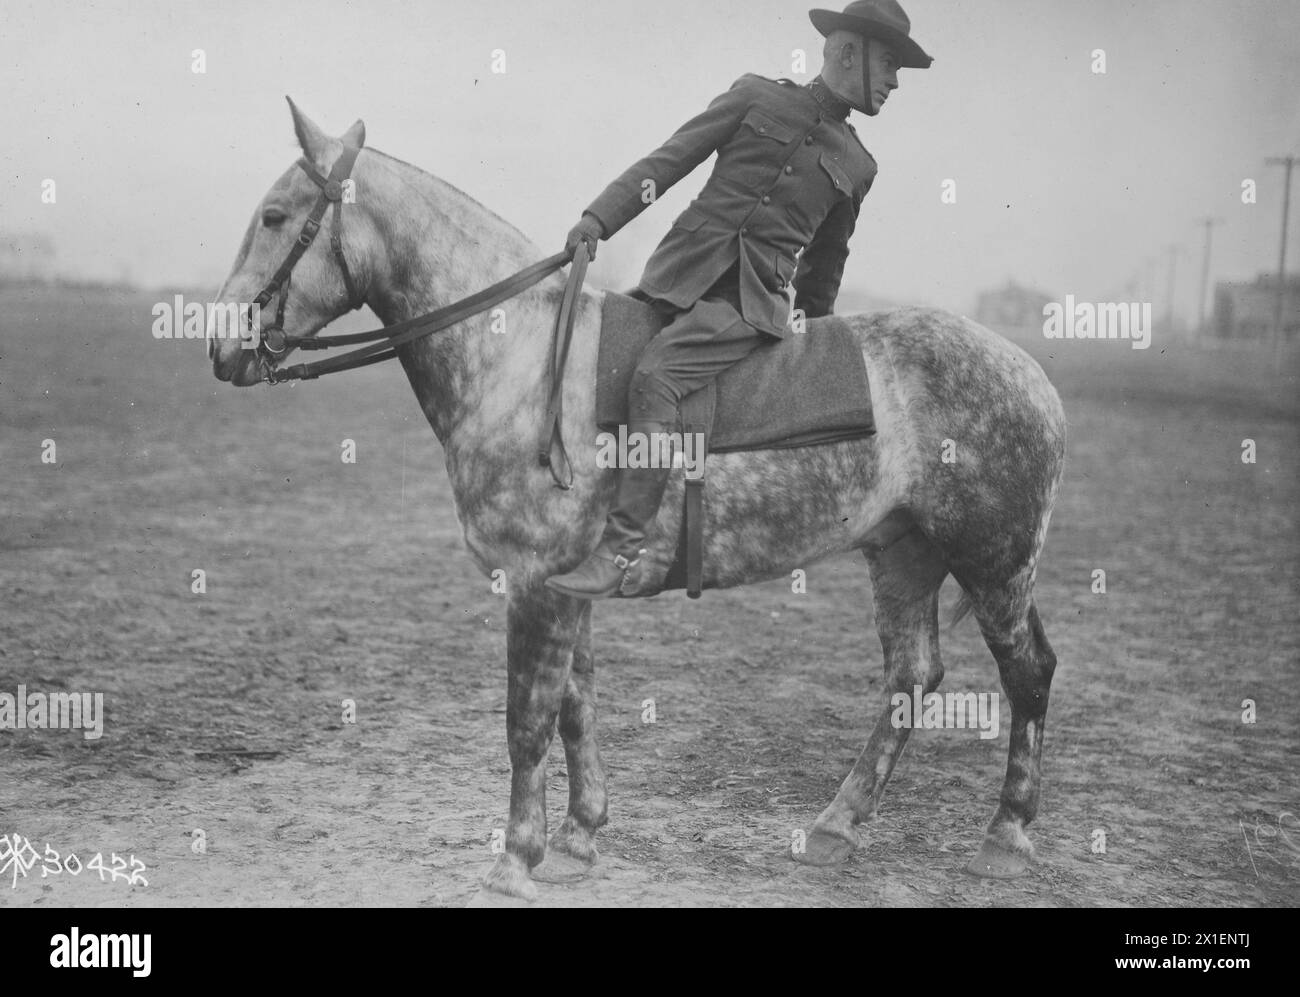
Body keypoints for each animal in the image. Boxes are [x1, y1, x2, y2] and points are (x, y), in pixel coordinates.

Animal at [210, 101, 1066, 904]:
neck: (521, 359)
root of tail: (1032, 374)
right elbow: (574, 706)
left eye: (276, 216)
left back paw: (1005, 835)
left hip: (993, 561)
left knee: (1028, 674)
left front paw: (514, 863)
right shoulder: (567, 588)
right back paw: (836, 824)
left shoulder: (534, 588)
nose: (221, 349)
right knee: (911, 677)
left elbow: (528, 724)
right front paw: (576, 838)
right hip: (903, 552)